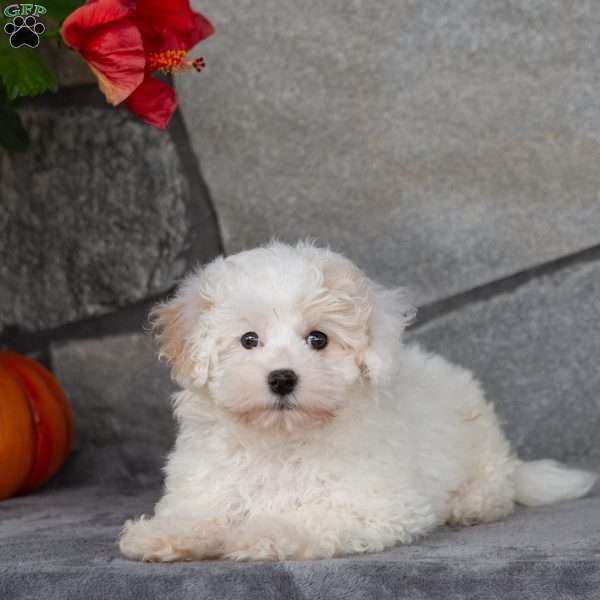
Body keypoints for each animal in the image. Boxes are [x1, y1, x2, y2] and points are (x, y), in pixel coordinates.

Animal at [118, 241, 596, 560]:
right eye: (248, 340)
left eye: (318, 339)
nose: (282, 378)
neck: (281, 442)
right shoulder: (208, 485)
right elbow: (200, 512)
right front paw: (163, 535)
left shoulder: (379, 505)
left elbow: (316, 516)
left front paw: (265, 533)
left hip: (482, 452)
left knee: (496, 487)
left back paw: (471, 504)